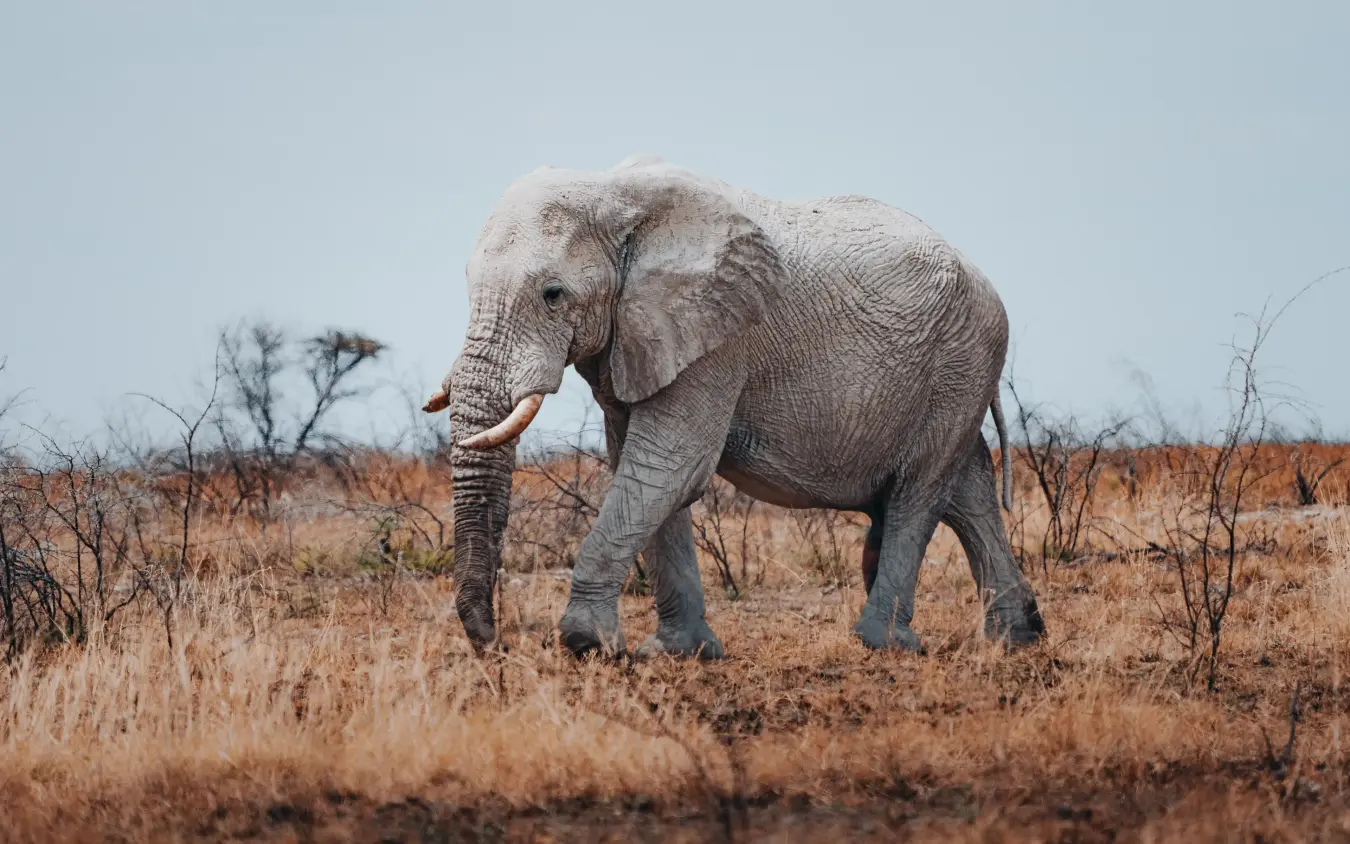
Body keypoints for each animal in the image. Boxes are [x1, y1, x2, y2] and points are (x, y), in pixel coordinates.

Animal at [423, 154, 1045, 659]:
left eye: (553, 295)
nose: (496, 645)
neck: (617, 194)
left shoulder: (719, 341)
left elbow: (668, 467)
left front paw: (587, 645)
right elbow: (642, 468)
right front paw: (679, 654)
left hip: (960, 361)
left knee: (921, 491)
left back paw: (885, 645)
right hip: (955, 372)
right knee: (966, 489)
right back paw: (1018, 640)